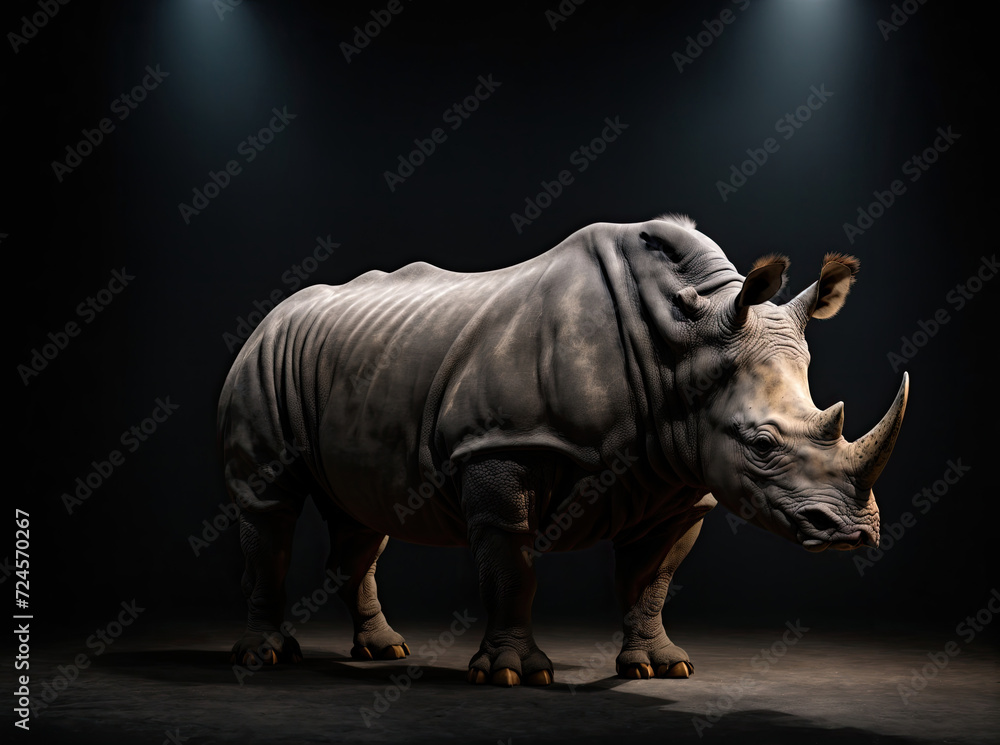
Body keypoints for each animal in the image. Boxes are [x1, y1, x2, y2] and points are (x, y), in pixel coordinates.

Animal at [218, 214, 908, 686]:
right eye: (762, 444)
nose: (856, 534)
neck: (683, 345)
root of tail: (270, 317)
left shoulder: (677, 477)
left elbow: (654, 576)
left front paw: (661, 666)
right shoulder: (501, 446)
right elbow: (512, 562)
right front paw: (513, 674)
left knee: (361, 516)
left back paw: (385, 649)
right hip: (265, 357)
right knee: (270, 505)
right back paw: (267, 657)